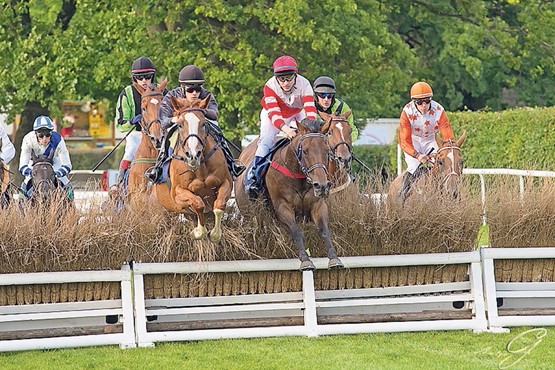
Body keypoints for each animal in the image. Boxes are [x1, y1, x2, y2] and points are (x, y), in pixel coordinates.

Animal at [150, 94, 232, 241]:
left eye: (204, 123)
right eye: (180, 125)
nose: (193, 155)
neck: (200, 168)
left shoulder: (226, 183)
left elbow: (219, 205)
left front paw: (214, 234)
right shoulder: (177, 193)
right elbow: (198, 204)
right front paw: (198, 232)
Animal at [235, 119, 344, 272]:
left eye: (327, 151)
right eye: (305, 151)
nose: (321, 185)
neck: (298, 175)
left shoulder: (318, 205)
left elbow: (324, 230)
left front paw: (334, 258)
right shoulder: (282, 207)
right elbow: (296, 231)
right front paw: (305, 260)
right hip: (251, 215)